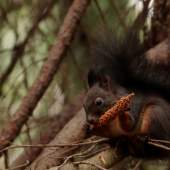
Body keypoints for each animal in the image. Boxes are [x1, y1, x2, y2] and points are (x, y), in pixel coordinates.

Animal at [82, 27, 170, 159]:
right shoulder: (110, 128)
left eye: (99, 102)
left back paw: (142, 138)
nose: (90, 120)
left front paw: (121, 109)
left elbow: (130, 125)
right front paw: (87, 128)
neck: (111, 121)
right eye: (83, 104)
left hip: (156, 114)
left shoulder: (133, 107)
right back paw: (119, 141)